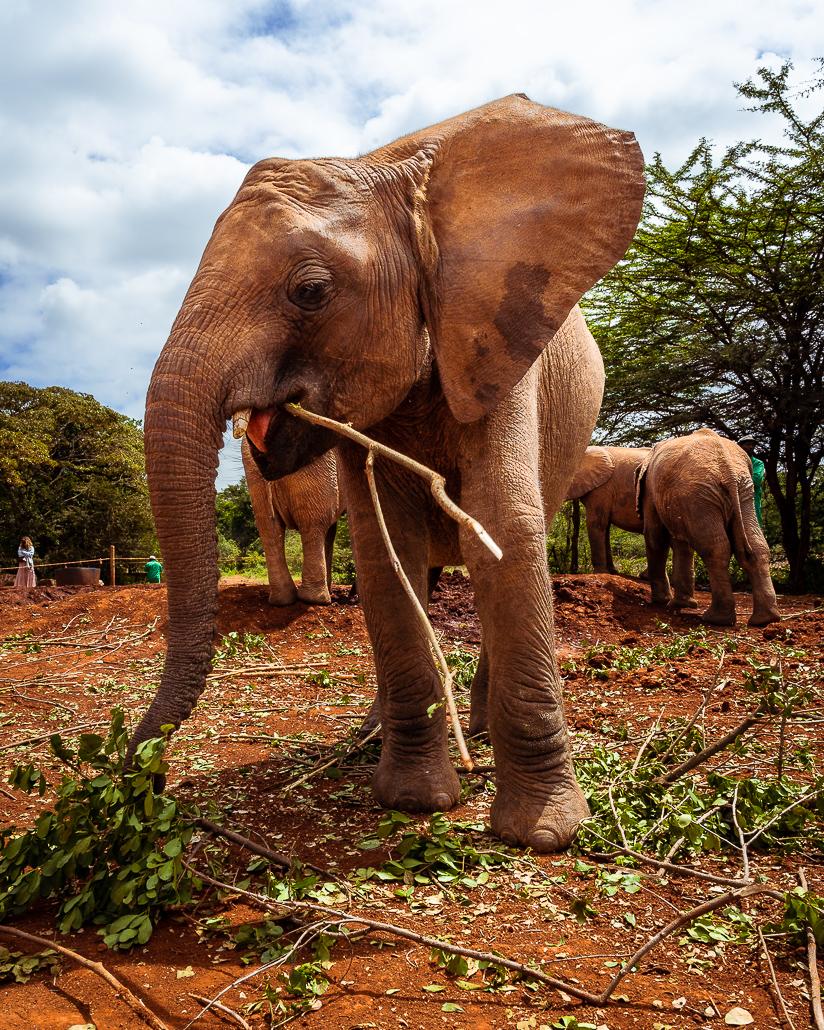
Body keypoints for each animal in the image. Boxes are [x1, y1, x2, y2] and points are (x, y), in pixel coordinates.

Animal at [636, 429, 781, 627]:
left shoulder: (651, 489)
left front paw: (661, 602)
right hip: (742, 494)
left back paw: (716, 619)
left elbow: (655, 537)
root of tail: (729, 470)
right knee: (756, 546)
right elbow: (680, 543)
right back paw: (765, 619)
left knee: (715, 549)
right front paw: (680, 604)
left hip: (700, 495)